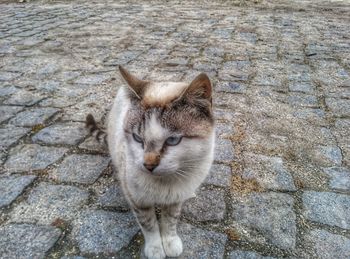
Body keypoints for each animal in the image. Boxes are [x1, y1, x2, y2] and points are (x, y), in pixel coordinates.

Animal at [86, 67, 215, 259]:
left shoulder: (175, 199)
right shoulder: (138, 200)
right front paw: (155, 249)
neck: (164, 185)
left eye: (173, 140)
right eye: (137, 138)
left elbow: (170, 221)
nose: (149, 165)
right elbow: (149, 225)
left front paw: (170, 242)